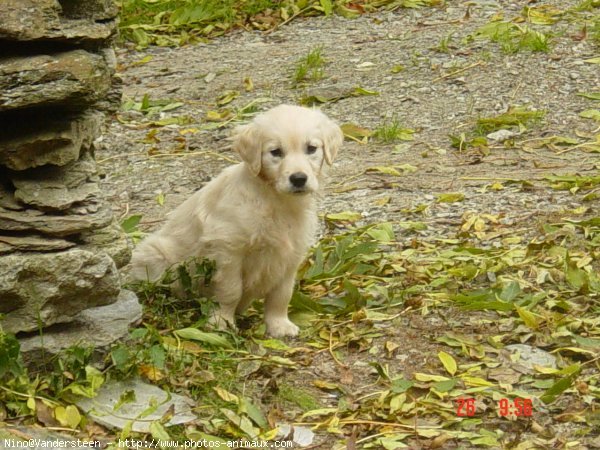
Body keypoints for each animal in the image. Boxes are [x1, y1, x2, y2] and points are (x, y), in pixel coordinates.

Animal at [132, 105, 342, 338]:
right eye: (276, 152)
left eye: (311, 148)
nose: (298, 179)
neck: (274, 199)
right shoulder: (228, 251)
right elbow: (231, 290)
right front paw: (221, 322)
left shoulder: (289, 256)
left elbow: (281, 295)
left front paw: (279, 325)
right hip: (156, 255)